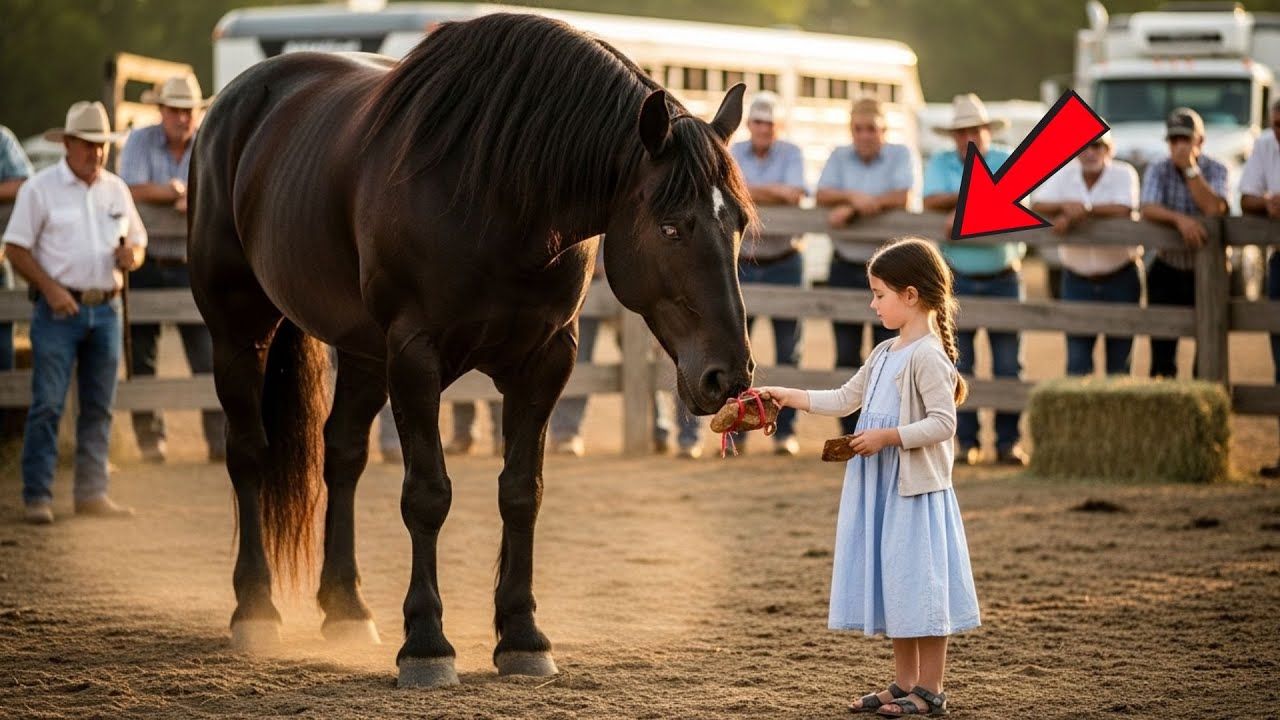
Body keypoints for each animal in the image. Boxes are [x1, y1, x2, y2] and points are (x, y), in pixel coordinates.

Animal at [188, 12, 756, 688]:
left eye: (738, 224)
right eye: (671, 227)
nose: (728, 375)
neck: (497, 197)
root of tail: (238, 102)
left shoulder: (545, 361)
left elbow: (522, 491)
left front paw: (522, 636)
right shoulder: (415, 358)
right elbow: (427, 495)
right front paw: (427, 644)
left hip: (363, 354)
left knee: (343, 456)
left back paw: (347, 607)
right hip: (238, 329)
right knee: (248, 453)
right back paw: (255, 609)